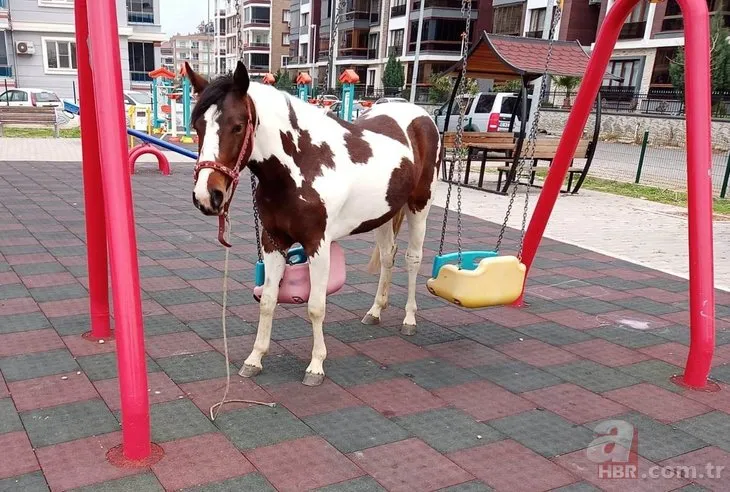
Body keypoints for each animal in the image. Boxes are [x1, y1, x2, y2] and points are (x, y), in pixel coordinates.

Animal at [186, 60, 438, 384]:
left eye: (237, 126)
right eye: (197, 127)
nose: (208, 196)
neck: (303, 163)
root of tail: (422, 116)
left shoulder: (318, 244)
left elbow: (316, 307)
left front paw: (316, 364)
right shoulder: (273, 241)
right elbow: (268, 300)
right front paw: (255, 358)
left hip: (419, 206)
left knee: (412, 258)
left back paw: (409, 318)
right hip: (384, 214)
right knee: (387, 257)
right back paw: (375, 311)